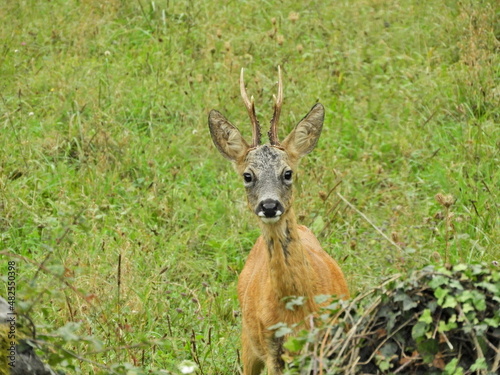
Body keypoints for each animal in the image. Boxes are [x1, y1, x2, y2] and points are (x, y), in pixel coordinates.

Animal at [207, 66, 348, 374]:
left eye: (288, 173)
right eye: (248, 175)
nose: (269, 205)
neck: (295, 309)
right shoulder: (271, 347)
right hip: (248, 342)